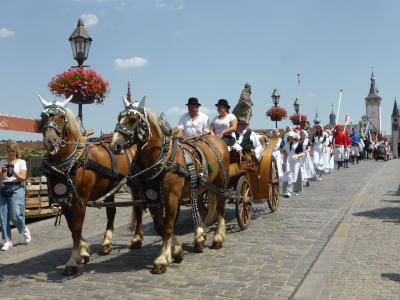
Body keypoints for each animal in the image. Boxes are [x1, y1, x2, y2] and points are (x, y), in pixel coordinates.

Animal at [37, 95, 143, 276]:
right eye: (43, 116)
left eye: (62, 117)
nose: (50, 141)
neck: (73, 162)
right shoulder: (66, 201)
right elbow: (72, 228)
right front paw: (84, 251)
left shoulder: (80, 201)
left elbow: (77, 229)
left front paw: (73, 261)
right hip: (110, 187)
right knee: (111, 213)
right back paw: (106, 243)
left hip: (137, 185)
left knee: (139, 208)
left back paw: (137, 239)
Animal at [111, 96, 230, 274]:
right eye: (118, 117)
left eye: (132, 119)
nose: (115, 145)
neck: (163, 159)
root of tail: (216, 139)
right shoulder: (152, 197)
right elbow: (159, 227)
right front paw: (177, 250)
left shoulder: (171, 198)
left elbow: (167, 227)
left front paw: (162, 260)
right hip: (199, 186)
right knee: (198, 207)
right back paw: (199, 237)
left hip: (221, 183)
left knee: (221, 208)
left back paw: (217, 238)